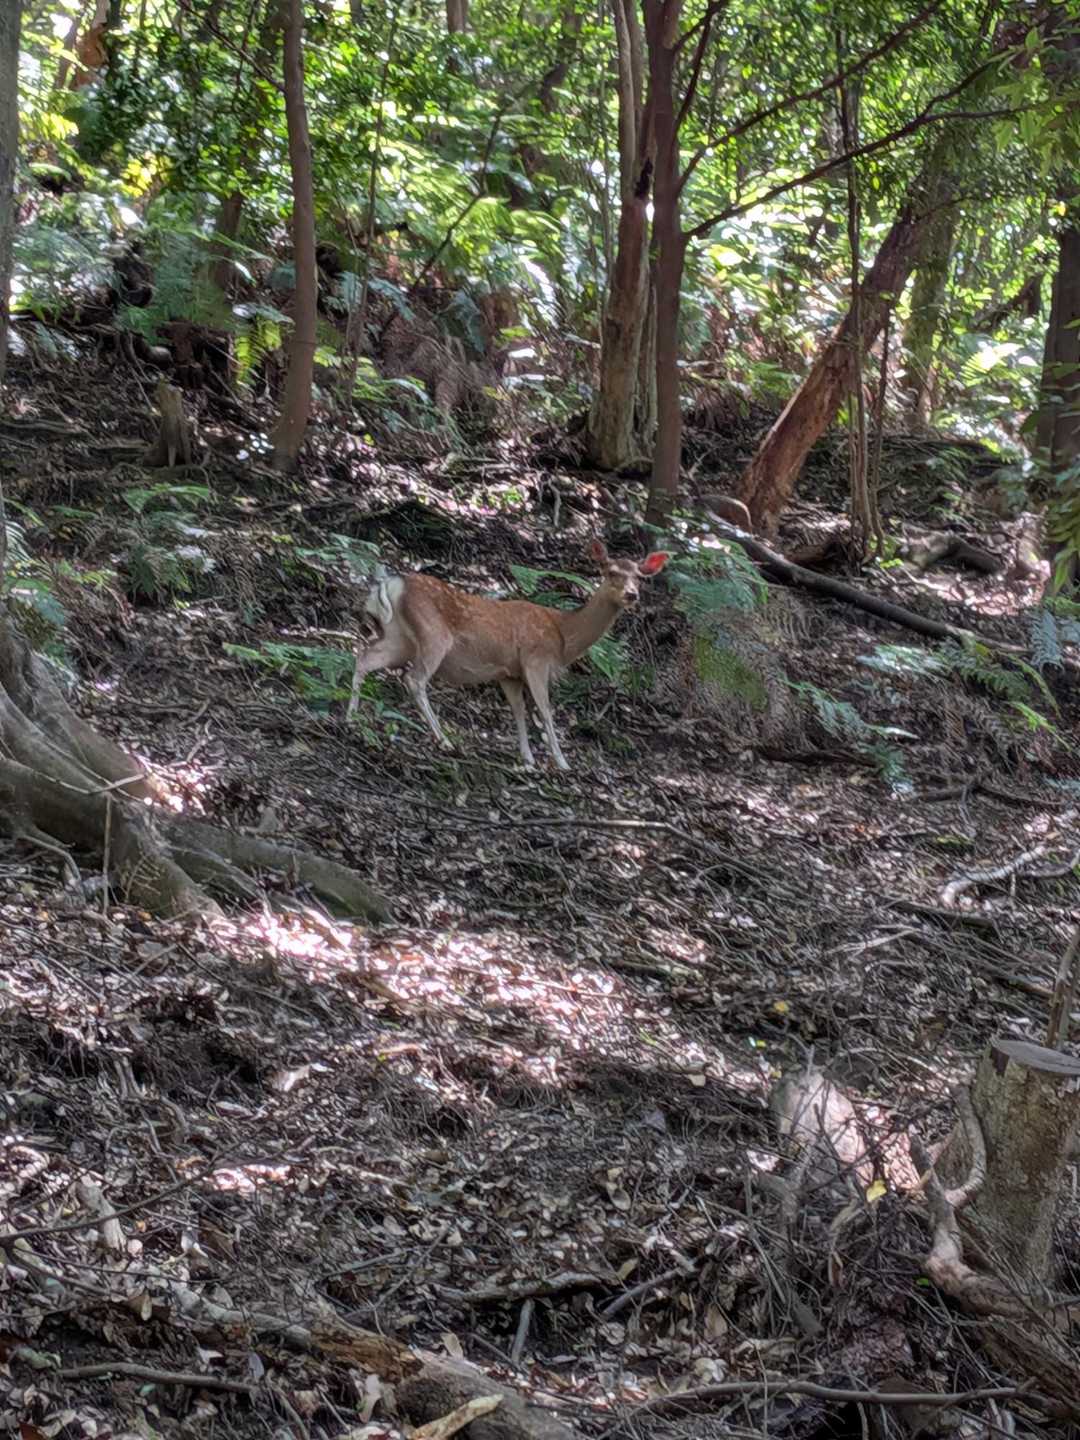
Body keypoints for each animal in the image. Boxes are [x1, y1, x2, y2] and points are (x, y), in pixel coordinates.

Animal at [347, 541, 670, 771]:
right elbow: (545, 710)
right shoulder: (535, 659)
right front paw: (562, 763)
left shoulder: (509, 673)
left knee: (364, 656)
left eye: (639, 577)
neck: (562, 636)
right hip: (433, 635)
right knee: (414, 679)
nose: (631, 595)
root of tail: (392, 583)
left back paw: (351, 716)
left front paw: (527, 759)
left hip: (398, 638)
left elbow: (518, 710)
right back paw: (444, 740)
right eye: (610, 572)